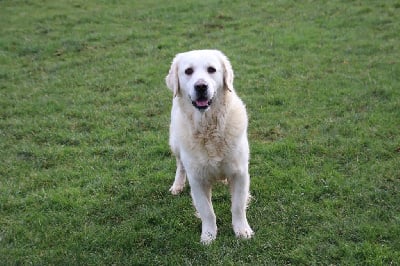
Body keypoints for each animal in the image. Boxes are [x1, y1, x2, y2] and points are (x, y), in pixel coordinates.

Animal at [165, 48, 253, 244]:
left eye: (211, 70)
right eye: (188, 71)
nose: (201, 86)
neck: (209, 128)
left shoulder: (240, 173)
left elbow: (237, 206)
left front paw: (242, 230)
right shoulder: (197, 179)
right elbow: (207, 211)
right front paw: (209, 235)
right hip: (175, 143)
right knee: (180, 165)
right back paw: (177, 185)